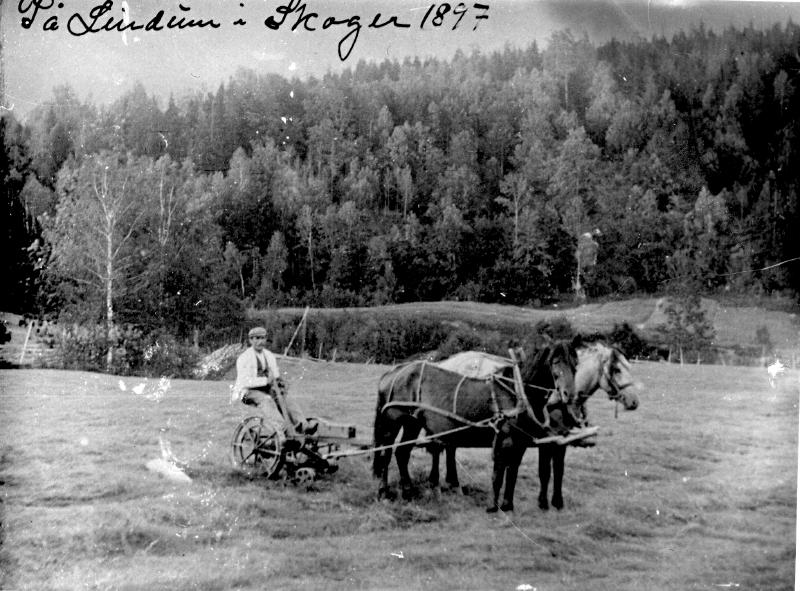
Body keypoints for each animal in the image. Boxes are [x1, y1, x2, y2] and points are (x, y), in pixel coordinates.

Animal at [372, 340, 579, 513]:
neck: (516, 392)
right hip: (393, 422)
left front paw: (508, 505)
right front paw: (493, 506)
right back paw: (384, 492)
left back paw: (408, 492)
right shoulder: (504, 439)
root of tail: (392, 373)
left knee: (401, 453)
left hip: (412, 424)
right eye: (555, 361)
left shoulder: (519, 442)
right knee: (386, 453)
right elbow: (498, 474)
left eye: (575, 364)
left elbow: (512, 473)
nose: (569, 394)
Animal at [429, 340, 642, 510]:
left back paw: (452, 482)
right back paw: (448, 483)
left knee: (449, 447)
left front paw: (557, 502)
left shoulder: (560, 440)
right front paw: (543, 502)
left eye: (629, 367)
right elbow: (545, 472)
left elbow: (558, 471)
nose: (634, 402)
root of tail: (445, 362)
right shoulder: (547, 441)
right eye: (616, 369)